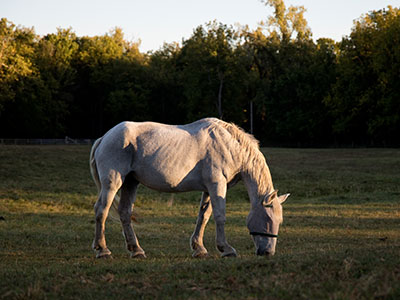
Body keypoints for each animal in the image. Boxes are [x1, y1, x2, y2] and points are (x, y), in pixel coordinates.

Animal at [89, 118, 290, 258]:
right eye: (268, 219)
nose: (268, 252)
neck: (230, 145)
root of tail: (104, 137)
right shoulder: (217, 184)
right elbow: (220, 216)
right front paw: (226, 249)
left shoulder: (209, 189)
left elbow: (204, 216)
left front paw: (199, 249)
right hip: (113, 182)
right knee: (101, 210)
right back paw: (103, 250)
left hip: (131, 182)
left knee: (124, 212)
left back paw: (136, 250)